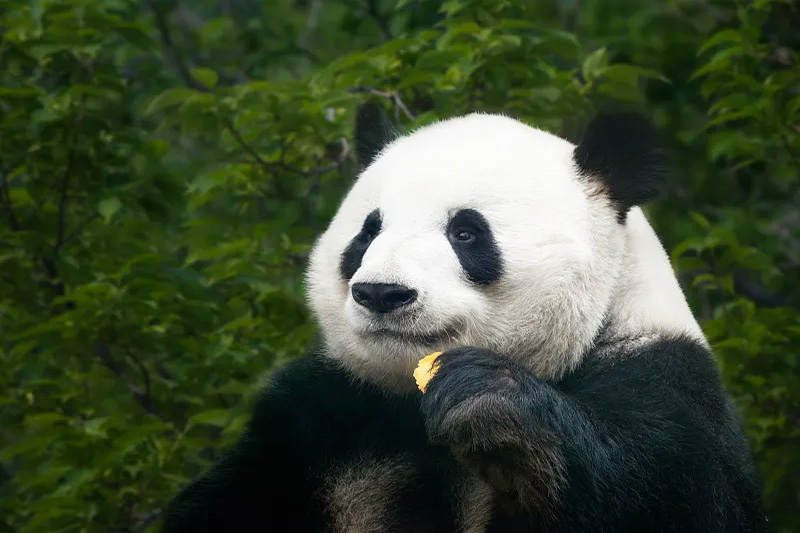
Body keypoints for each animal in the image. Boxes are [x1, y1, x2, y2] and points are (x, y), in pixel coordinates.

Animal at [163, 103, 766, 532]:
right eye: (367, 232)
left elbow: (673, 493)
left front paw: (490, 406)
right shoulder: (325, 420)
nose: (382, 293)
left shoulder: (666, 389)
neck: (412, 404)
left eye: (466, 232)